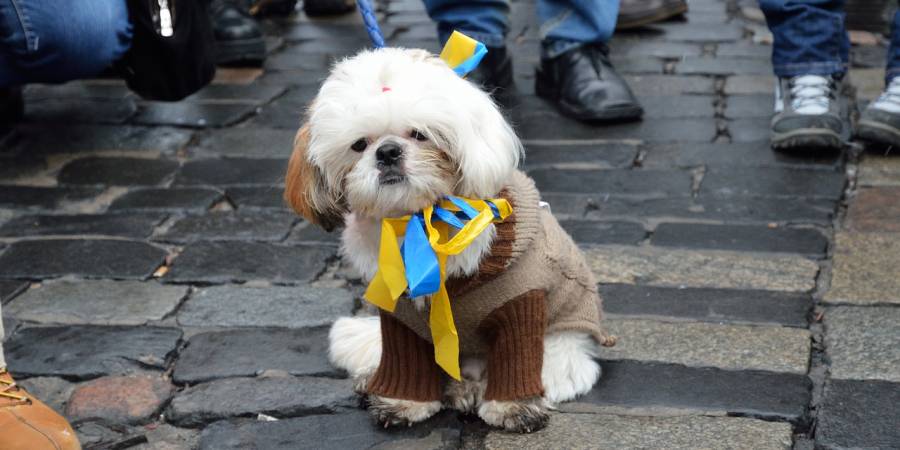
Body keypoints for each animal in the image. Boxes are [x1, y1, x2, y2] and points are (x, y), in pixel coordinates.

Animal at [284, 48, 616, 432]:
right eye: (359, 145)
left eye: (420, 134)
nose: (387, 152)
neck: (420, 221)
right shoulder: (400, 313)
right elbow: (405, 360)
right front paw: (404, 401)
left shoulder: (520, 303)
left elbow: (517, 359)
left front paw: (512, 407)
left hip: (562, 345)